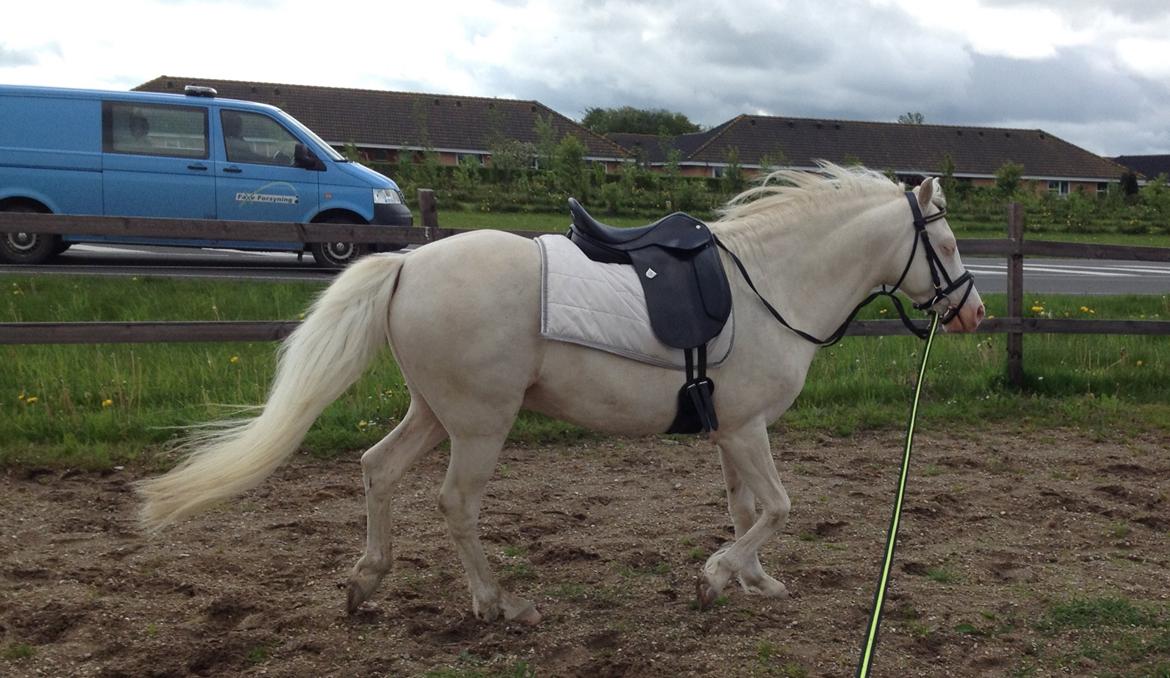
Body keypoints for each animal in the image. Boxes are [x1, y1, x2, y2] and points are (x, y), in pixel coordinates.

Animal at [138, 164, 985, 625]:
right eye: (945, 245)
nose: (972, 311)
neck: (770, 284)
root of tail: (408, 264)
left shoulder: (733, 431)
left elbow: (746, 508)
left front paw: (752, 580)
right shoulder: (747, 428)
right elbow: (775, 507)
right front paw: (715, 577)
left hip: (435, 414)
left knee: (379, 470)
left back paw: (366, 581)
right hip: (480, 424)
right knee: (455, 504)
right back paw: (496, 604)